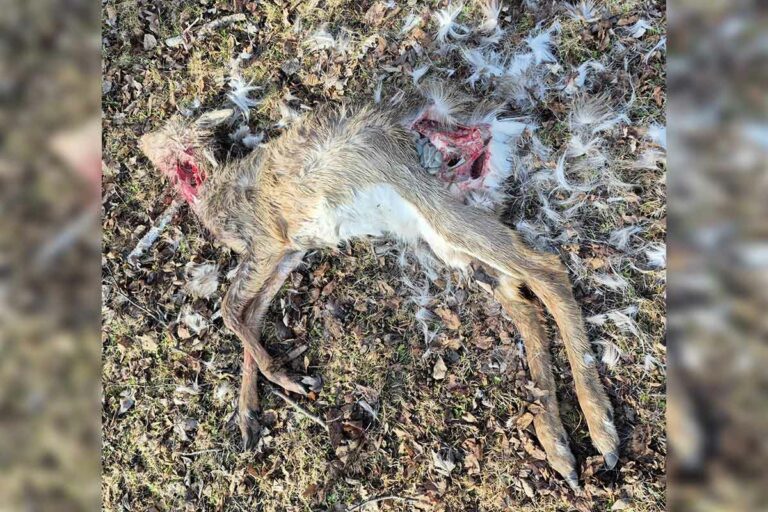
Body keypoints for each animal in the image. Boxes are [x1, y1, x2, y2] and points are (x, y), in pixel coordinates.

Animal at [139, 85, 619, 490]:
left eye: (173, 136)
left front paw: (286, 380)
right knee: (524, 300)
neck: (214, 191)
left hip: (424, 194)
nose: (144, 141)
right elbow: (251, 316)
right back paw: (558, 446)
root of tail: (474, 134)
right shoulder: (289, 250)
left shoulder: (267, 240)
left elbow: (229, 309)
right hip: (446, 238)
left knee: (547, 269)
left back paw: (603, 434)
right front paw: (249, 415)